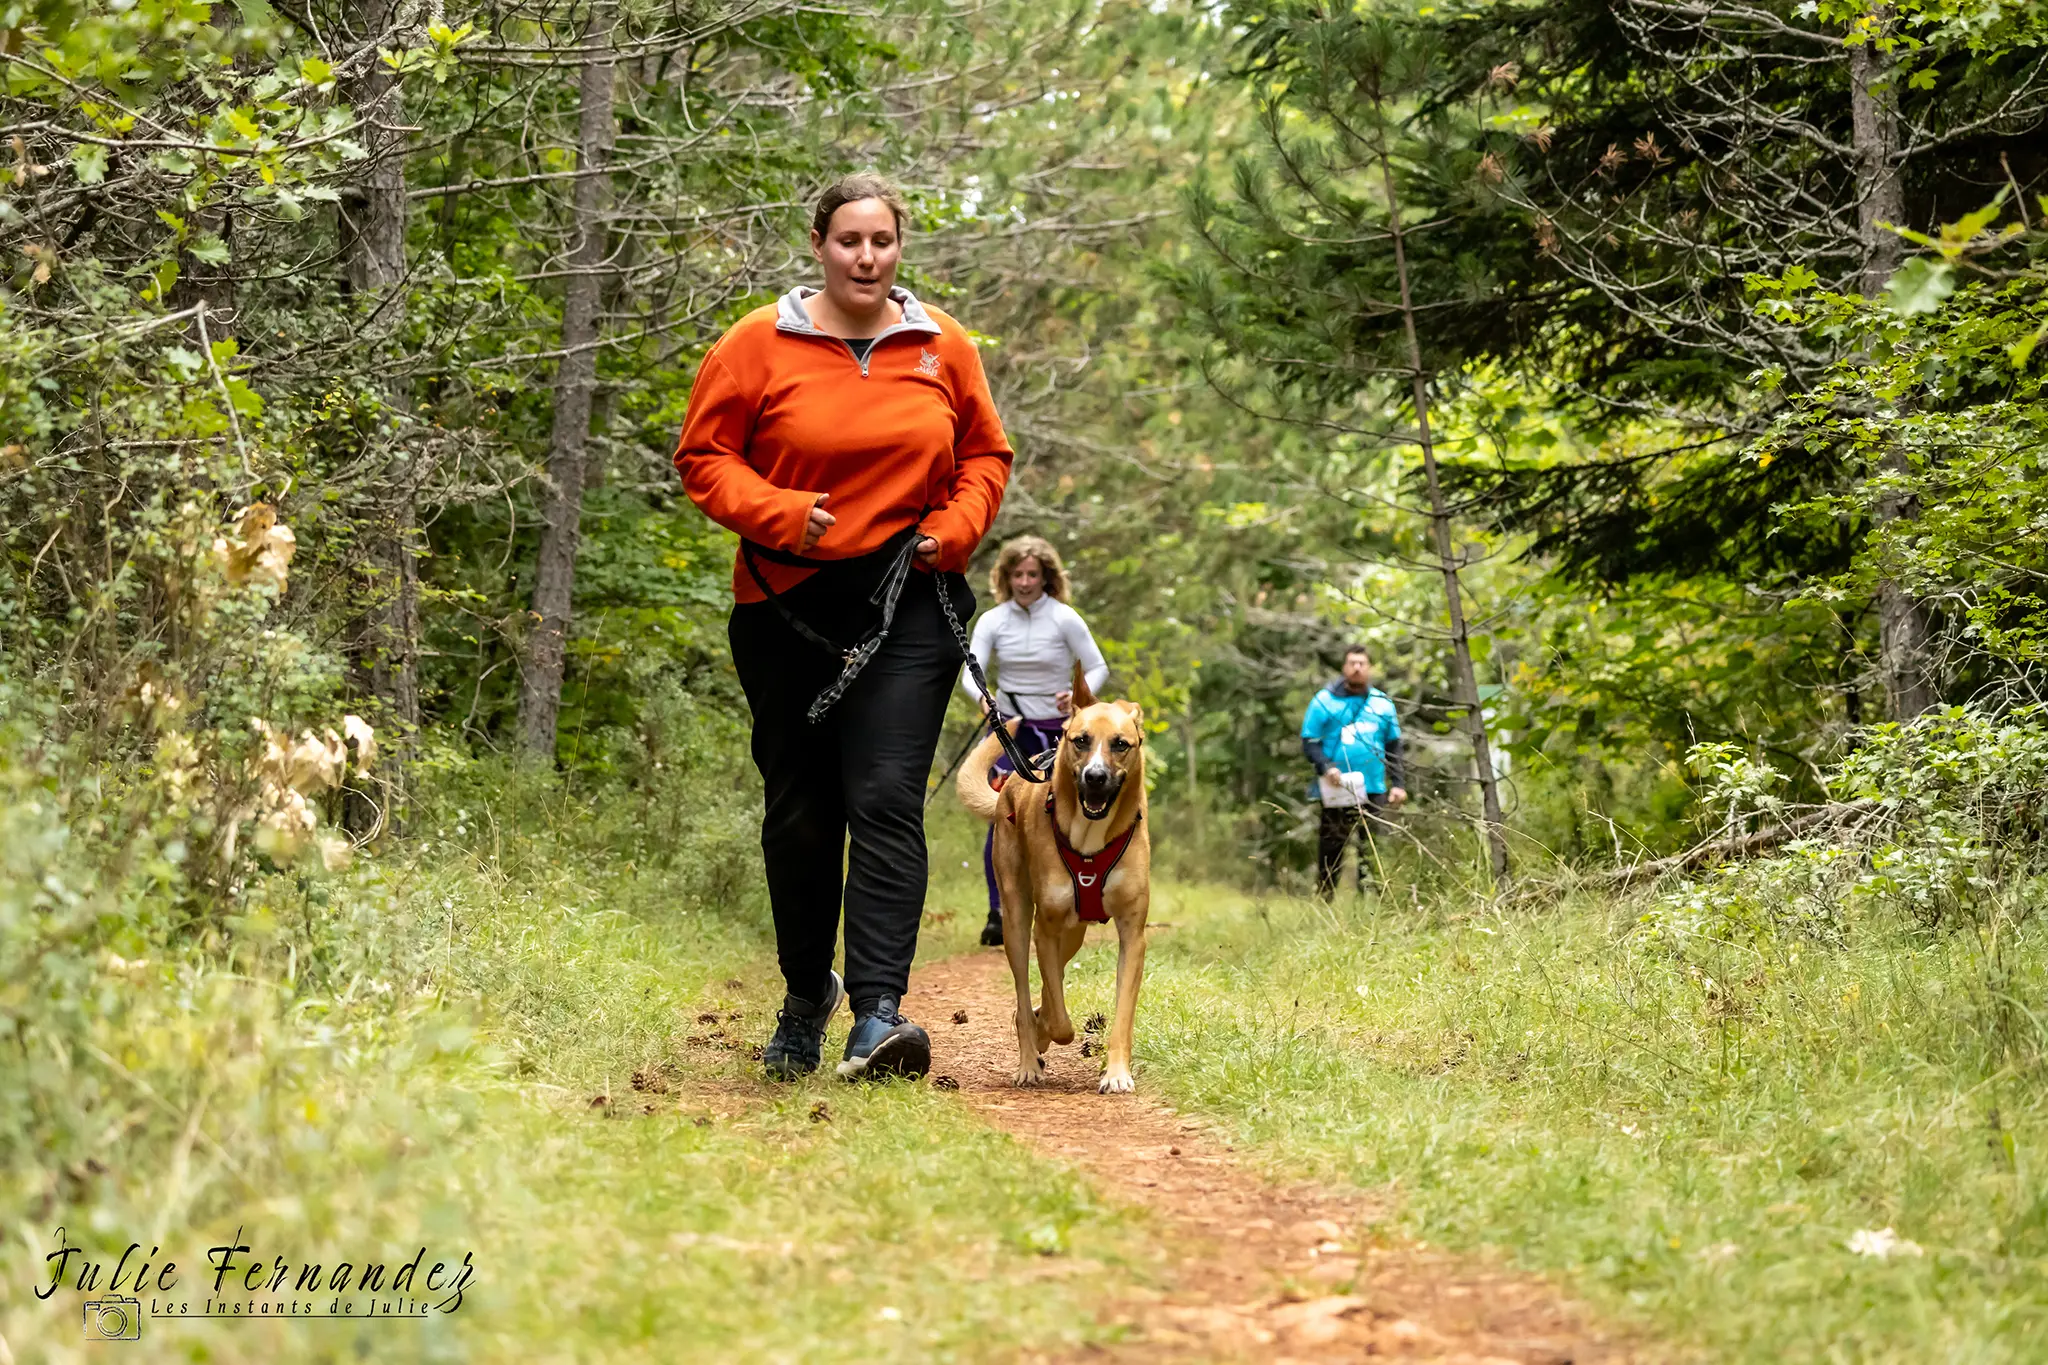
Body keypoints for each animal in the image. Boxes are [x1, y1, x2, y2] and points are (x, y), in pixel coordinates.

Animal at [958, 679, 1155, 1096]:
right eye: (1081, 740)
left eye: (1121, 744)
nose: (1095, 777)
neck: (1090, 841)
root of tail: (1015, 777)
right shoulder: (1045, 928)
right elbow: (1061, 1020)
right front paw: (1045, 1031)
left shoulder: (1132, 935)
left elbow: (1121, 1014)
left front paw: (1116, 1073)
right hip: (1017, 922)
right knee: (1026, 990)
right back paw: (1029, 1059)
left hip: (1075, 931)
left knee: (1054, 979)